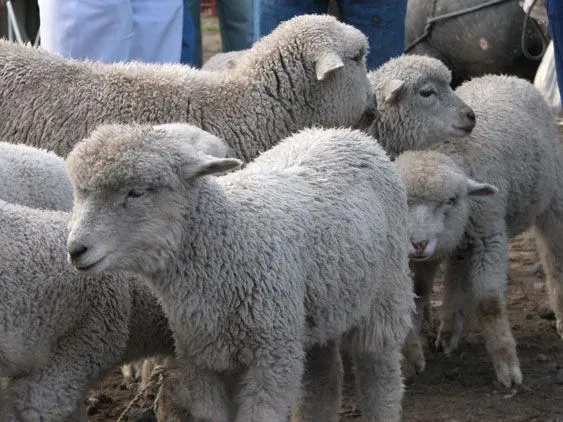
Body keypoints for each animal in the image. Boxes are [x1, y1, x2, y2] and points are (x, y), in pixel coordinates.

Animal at [66, 123, 416, 420]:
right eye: (80, 192)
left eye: (137, 192)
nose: (75, 249)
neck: (231, 242)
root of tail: (347, 133)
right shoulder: (205, 360)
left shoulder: (272, 356)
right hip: (320, 306)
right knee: (322, 380)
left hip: (386, 292)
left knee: (380, 373)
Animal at [394, 74, 563, 388]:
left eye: (451, 200)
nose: (418, 243)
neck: (444, 148)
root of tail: (503, 76)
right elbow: (416, 296)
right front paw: (411, 357)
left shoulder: (488, 236)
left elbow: (489, 302)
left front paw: (507, 367)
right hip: (462, 238)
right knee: (455, 274)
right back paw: (450, 331)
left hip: (553, 199)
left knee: (555, 257)